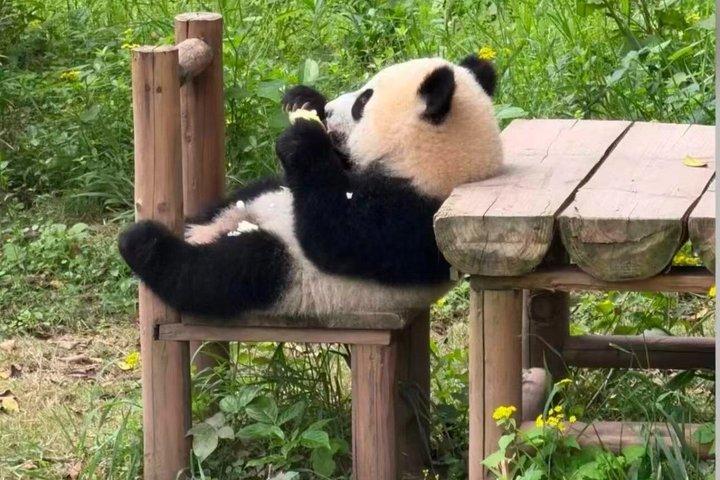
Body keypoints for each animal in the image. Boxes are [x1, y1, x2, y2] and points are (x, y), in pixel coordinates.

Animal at [118, 54, 503, 318]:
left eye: (363, 101)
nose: (330, 110)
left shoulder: (418, 218)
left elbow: (336, 238)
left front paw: (303, 138)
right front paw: (305, 101)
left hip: (289, 276)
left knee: (223, 271)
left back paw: (144, 243)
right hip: (257, 196)